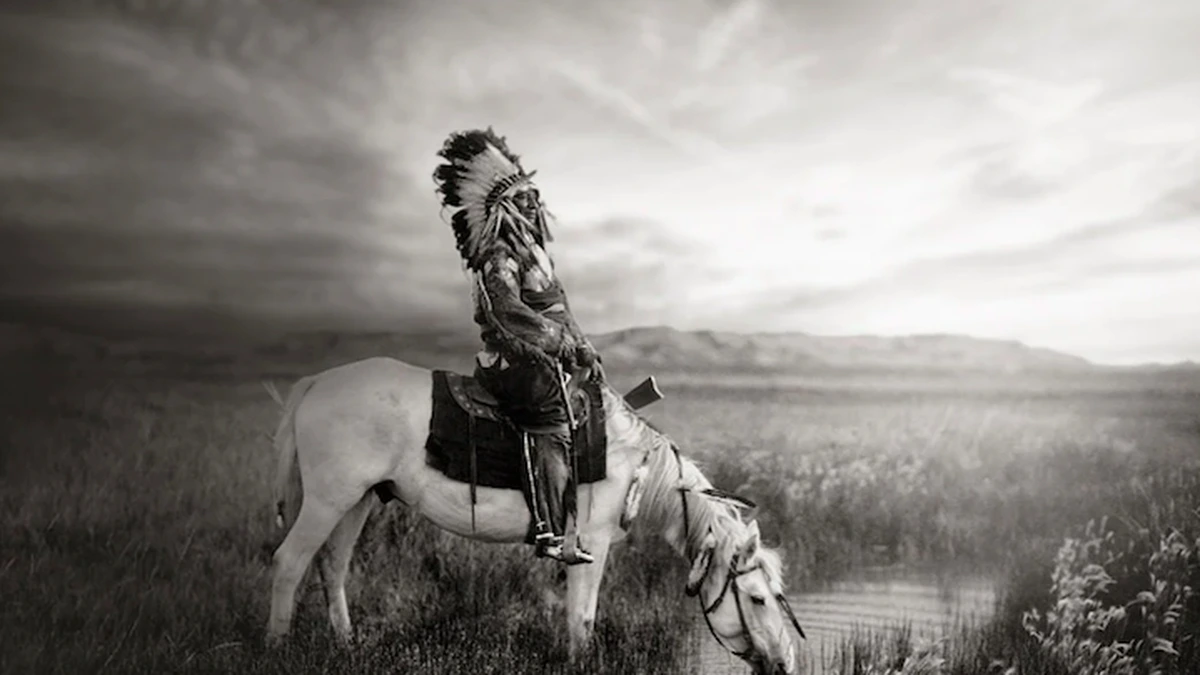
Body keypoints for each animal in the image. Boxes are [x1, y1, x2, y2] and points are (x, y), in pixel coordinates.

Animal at [264, 356, 806, 674]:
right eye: (757, 599)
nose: (786, 662)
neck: (633, 464)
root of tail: (316, 382)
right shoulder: (592, 543)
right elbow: (582, 618)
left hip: (355, 499)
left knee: (332, 566)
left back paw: (346, 645)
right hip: (328, 498)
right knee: (290, 563)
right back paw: (278, 647)